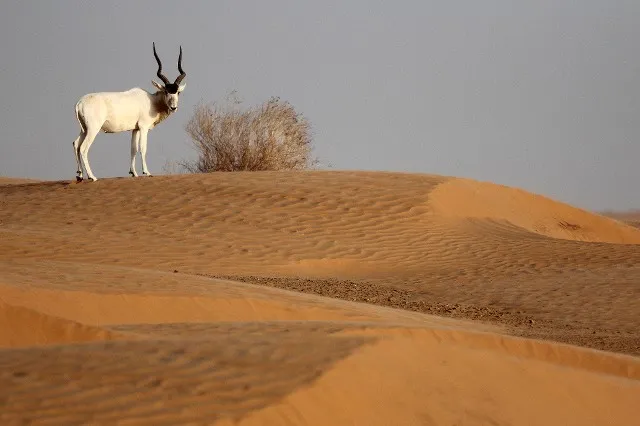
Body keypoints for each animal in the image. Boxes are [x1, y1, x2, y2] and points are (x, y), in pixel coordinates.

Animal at [74, 43, 188, 181]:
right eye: (166, 91)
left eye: (178, 92)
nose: (173, 107)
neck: (151, 100)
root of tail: (80, 103)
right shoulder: (143, 127)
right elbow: (143, 148)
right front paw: (146, 172)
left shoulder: (135, 129)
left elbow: (133, 149)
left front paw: (134, 173)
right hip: (93, 129)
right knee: (83, 148)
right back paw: (92, 177)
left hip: (84, 129)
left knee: (76, 144)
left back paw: (79, 175)